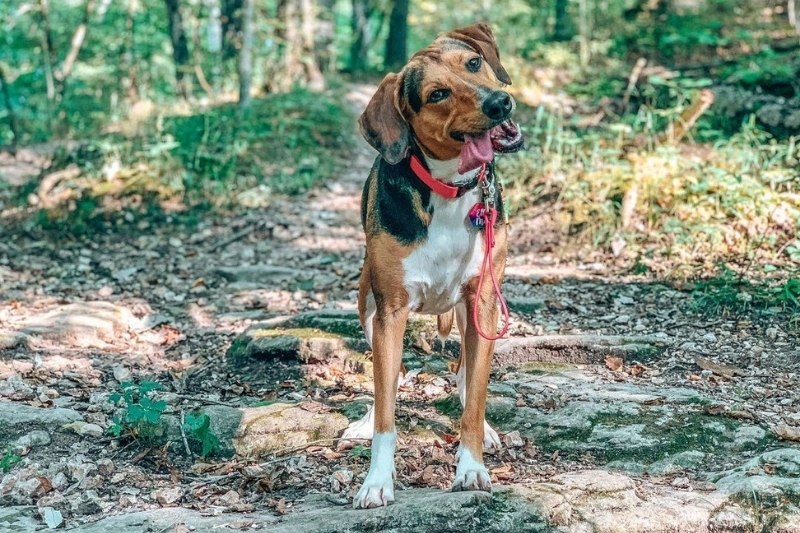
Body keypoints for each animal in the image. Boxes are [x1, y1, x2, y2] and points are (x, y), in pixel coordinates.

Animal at [344, 23, 524, 508]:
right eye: (437, 93)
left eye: (474, 63)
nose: (498, 103)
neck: (449, 188)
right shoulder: (390, 312)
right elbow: (387, 410)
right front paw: (376, 481)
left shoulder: (483, 302)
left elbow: (474, 399)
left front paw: (472, 467)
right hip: (367, 305)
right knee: (387, 380)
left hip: (472, 313)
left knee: (464, 374)